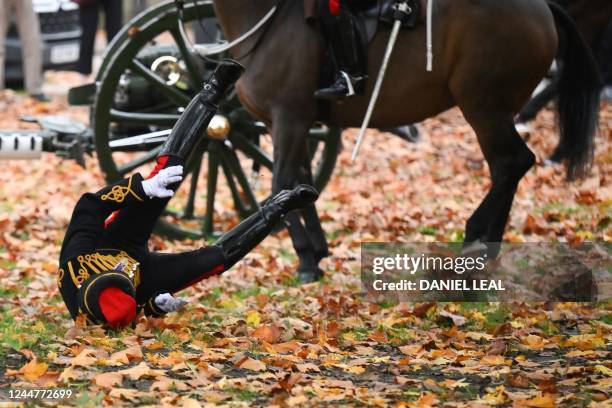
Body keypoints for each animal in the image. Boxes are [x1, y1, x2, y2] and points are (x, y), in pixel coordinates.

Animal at [210, 0, 596, 282]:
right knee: (508, 167)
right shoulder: (294, 124)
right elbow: (300, 186)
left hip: (485, 107)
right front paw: (316, 253)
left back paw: (474, 240)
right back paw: (487, 249)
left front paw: (305, 259)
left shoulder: (288, 120)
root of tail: (543, 8)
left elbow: (281, 184)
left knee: (511, 163)